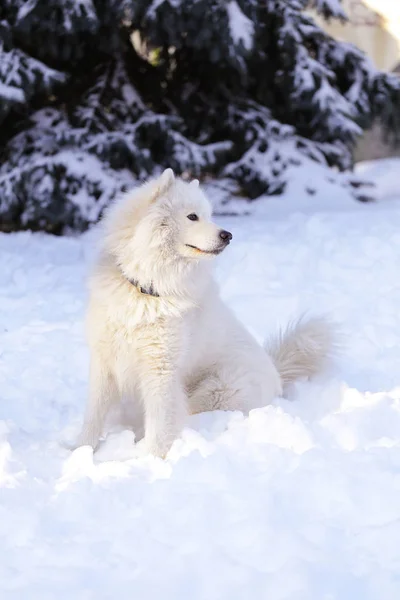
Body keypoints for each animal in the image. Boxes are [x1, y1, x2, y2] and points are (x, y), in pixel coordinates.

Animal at [77, 166, 334, 458]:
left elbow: (159, 424)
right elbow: (93, 414)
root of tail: (277, 374)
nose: (228, 235)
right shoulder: (104, 360)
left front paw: (151, 459)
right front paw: (79, 451)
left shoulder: (160, 370)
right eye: (192, 216)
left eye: (209, 216)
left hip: (214, 392)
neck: (146, 288)